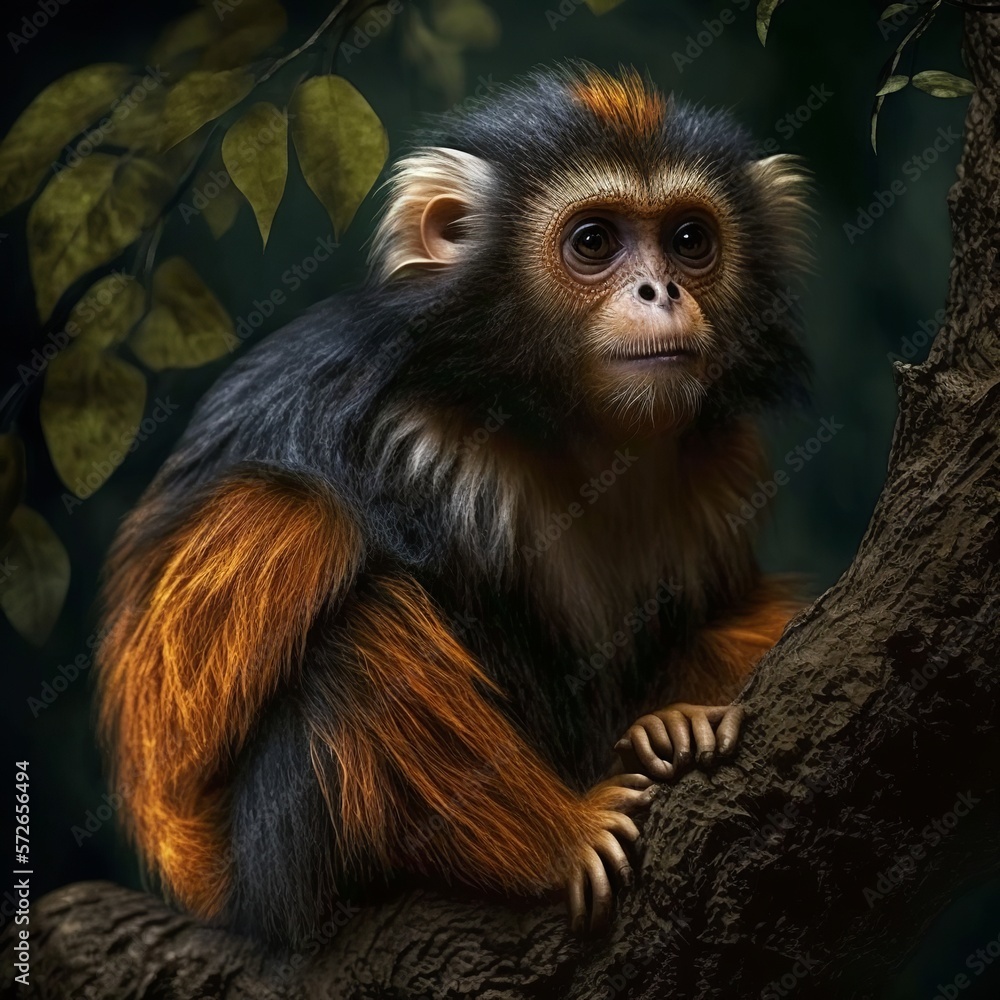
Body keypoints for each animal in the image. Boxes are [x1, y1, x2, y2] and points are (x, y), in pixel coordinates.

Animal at [96, 63, 809, 948]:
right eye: (593, 242)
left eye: (689, 240)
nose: (661, 290)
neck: (557, 422)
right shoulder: (414, 439)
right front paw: (586, 817)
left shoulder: (724, 462)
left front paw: (676, 719)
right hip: (259, 866)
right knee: (325, 567)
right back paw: (560, 838)